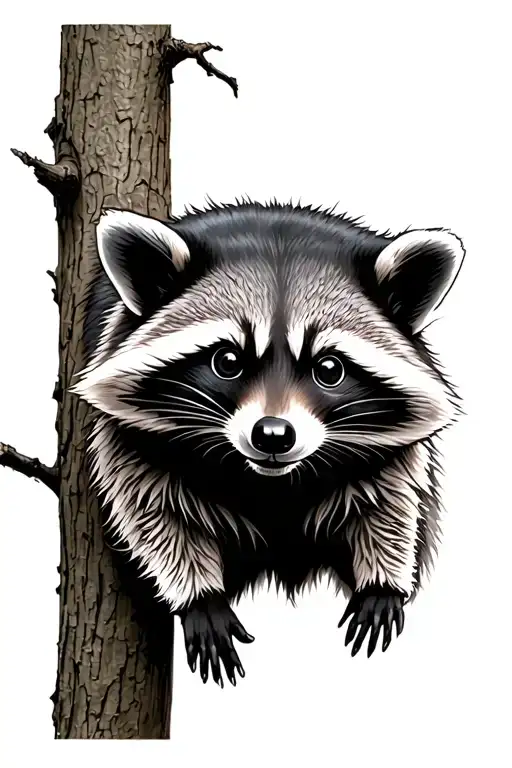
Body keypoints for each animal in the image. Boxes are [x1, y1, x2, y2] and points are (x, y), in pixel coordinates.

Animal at [73, 201, 464, 688]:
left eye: (329, 368)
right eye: (227, 361)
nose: (273, 434)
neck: (270, 482)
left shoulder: (390, 446)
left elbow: (391, 502)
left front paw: (382, 578)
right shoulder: (132, 435)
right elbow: (153, 511)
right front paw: (198, 595)